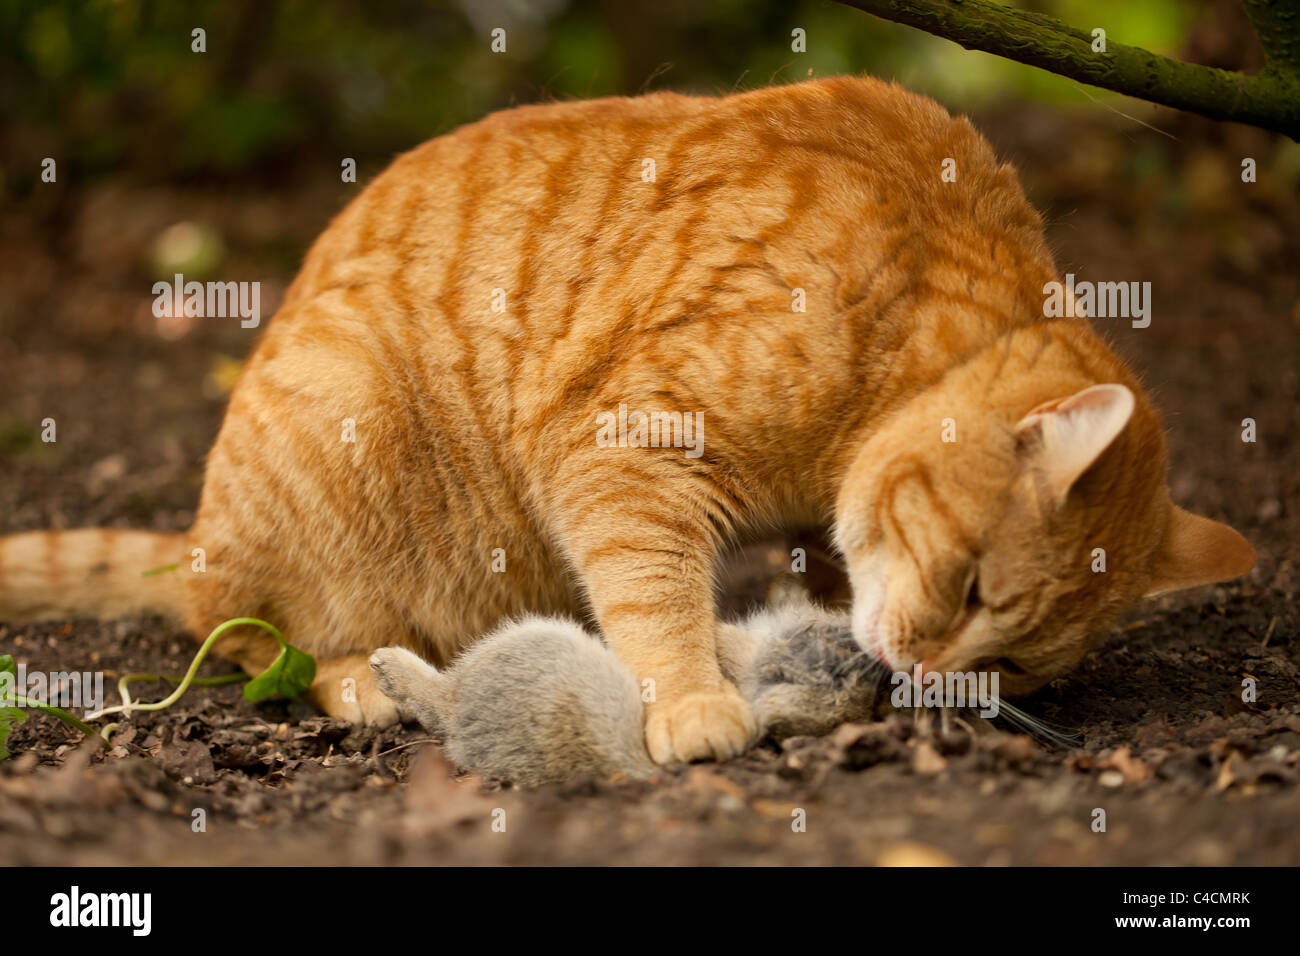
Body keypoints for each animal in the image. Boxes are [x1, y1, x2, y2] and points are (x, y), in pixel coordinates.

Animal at [2, 72, 1258, 764]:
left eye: (1018, 664)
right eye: (972, 588)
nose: (923, 672)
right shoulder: (624, 446)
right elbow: (655, 593)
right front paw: (697, 699)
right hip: (336, 407)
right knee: (246, 629)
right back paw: (357, 678)